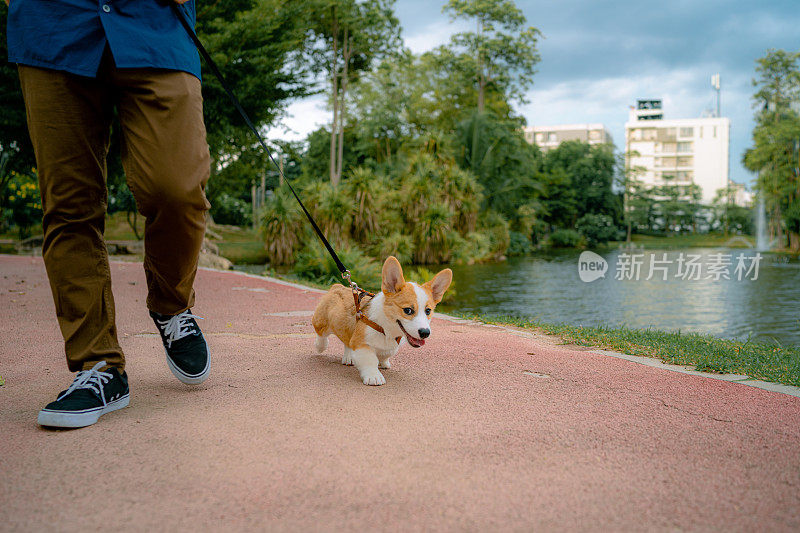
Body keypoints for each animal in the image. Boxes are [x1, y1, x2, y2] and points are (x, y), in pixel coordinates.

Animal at [310, 256, 450, 384]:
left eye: (428, 311)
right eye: (408, 310)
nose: (425, 333)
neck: (386, 327)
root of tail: (337, 286)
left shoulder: (387, 346)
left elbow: (385, 353)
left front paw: (383, 362)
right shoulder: (361, 343)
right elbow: (370, 359)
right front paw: (374, 377)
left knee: (347, 340)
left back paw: (348, 357)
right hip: (321, 322)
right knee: (321, 333)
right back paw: (320, 346)